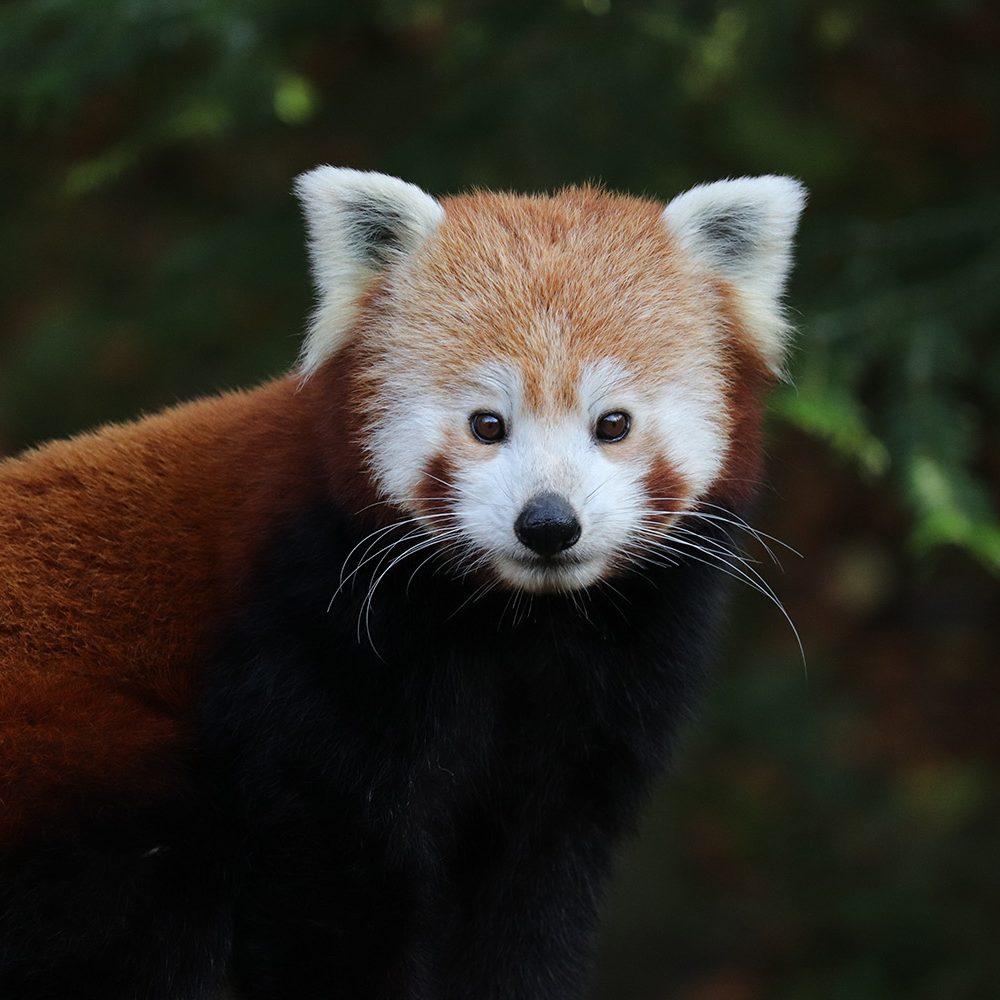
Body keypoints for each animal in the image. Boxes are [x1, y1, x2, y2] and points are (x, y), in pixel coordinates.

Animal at [0, 168, 804, 996]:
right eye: (487, 425)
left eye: (612, 424)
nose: (548, 524)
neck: (519, 625)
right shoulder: (313, 635)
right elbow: (332, 891)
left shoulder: (599, 702)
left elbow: (532, 891)